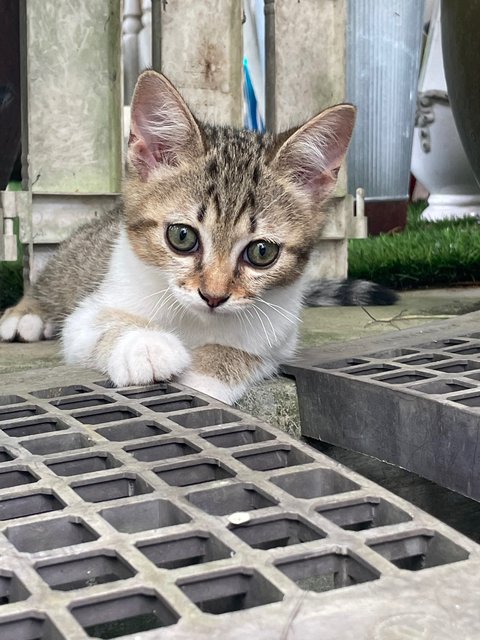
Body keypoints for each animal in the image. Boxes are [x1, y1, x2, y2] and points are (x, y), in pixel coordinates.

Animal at [0, 69, 354, 400]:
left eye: (262, 252)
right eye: (182, 237)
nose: (213, 296)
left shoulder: (279, 337)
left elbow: (244, 352)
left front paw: (204, 373)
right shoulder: (89, 312)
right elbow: (102, 323)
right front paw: (144, 345)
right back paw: (27, 315)